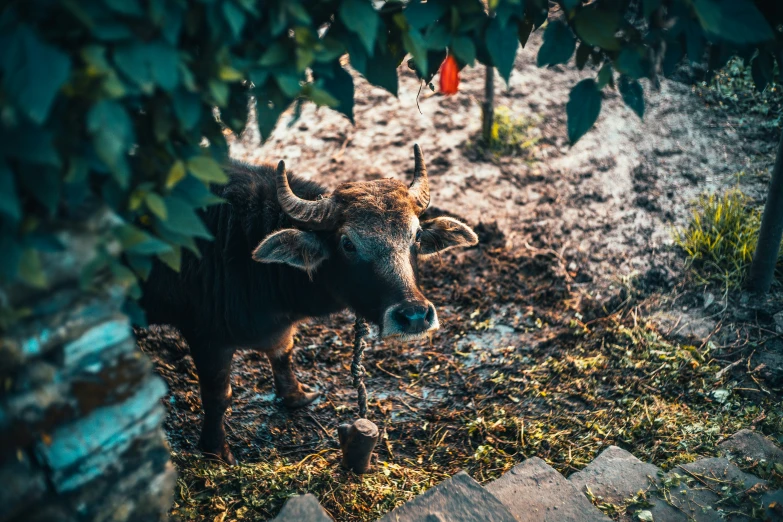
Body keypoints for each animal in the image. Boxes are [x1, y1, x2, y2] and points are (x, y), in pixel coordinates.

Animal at [142, 143, 478, 460]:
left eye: (417, 236)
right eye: (347, 243)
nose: (415, 316)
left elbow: (283, 352)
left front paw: (297, 396)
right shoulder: (205, 337)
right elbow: (218, 395)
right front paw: (216, 451)